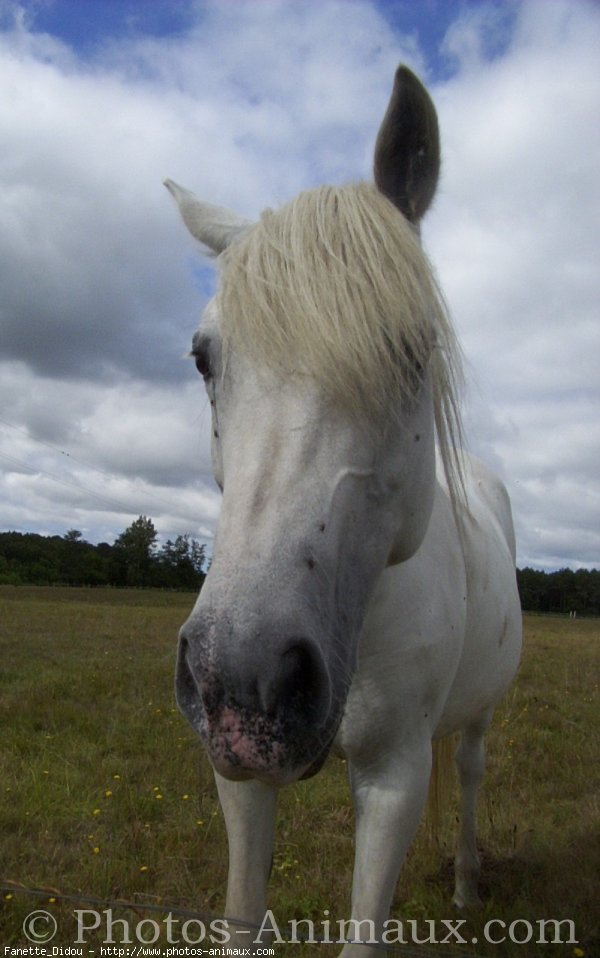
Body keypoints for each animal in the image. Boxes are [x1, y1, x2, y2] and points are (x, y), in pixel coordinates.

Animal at [165, 63, 520, 956]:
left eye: (414, 350)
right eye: (202, 358)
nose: (247, 677)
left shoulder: (394, 777)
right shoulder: (239, 775)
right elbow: (242, 916)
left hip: (479, 716)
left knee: (470, 773)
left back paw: (466, 884)